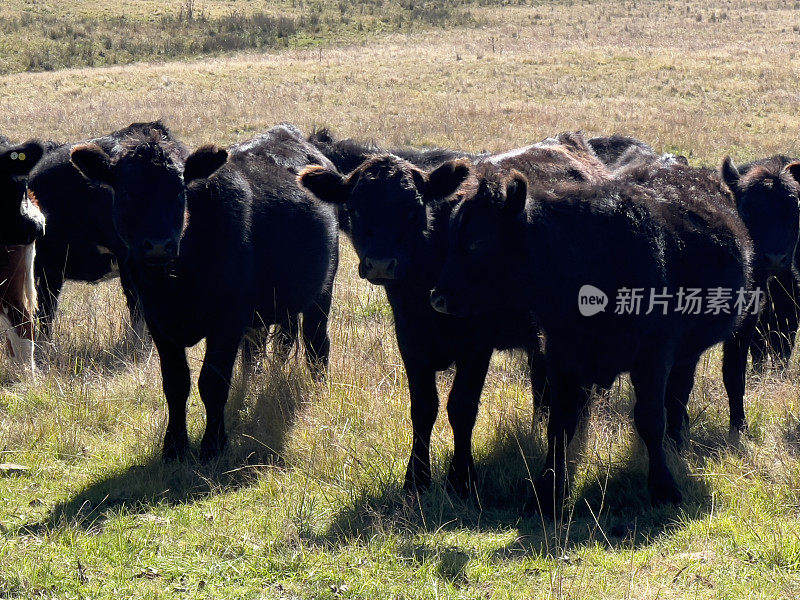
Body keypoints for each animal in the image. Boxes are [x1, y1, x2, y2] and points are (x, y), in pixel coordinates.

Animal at [69, 122, 340, 460]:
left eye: (178, 190)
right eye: (128, 192)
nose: (158, 245)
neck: (175, 283)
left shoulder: (227, 320)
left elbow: (212, 382)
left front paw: (213, 444)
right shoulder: (158, 321)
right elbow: (175, 383)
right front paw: (173, 446)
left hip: (323, 291)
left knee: (317, 344)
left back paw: (318, 388)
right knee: (262, 349)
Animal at [298, 130, 608, 492]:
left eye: (413, 209)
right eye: (355, 209)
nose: (382, 264)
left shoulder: (478, 342)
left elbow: (462, 407)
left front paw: (461, 478)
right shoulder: (409, 338)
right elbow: (423, 407)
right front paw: (416, 478)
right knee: (542, 387)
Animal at [432, 157, 752, 508]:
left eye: (477, 242)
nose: (438, 298)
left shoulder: (653, 356)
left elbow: (651, 419)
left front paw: (664, 487)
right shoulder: (562, 357)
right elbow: (559, 425)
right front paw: (547, 492)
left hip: (686, 352)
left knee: (677, 398)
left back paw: (676, 446)